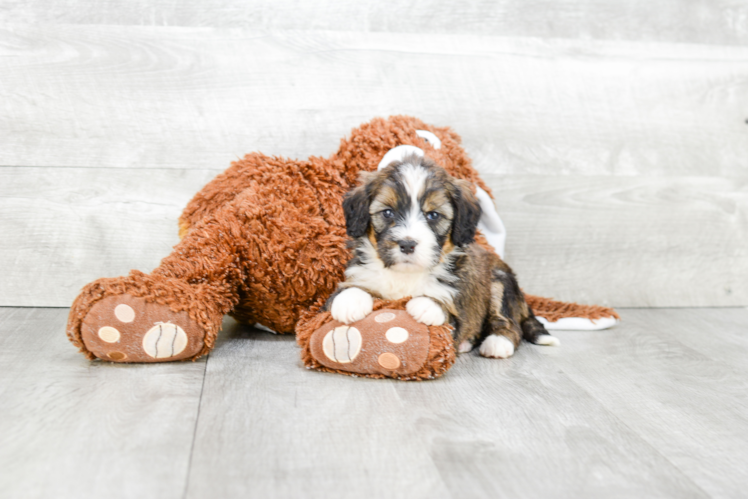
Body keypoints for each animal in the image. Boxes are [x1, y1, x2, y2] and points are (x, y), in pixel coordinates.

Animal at [324, 154, 560, 358]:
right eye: (388, 212)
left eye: (433, 215)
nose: (407, 244)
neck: (405, 275)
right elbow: (350, 289)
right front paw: (349, 301)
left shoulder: (457, 308)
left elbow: (445, 307)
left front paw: (427, 304)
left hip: (501, 282)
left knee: (508, 321)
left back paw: (498, 342)